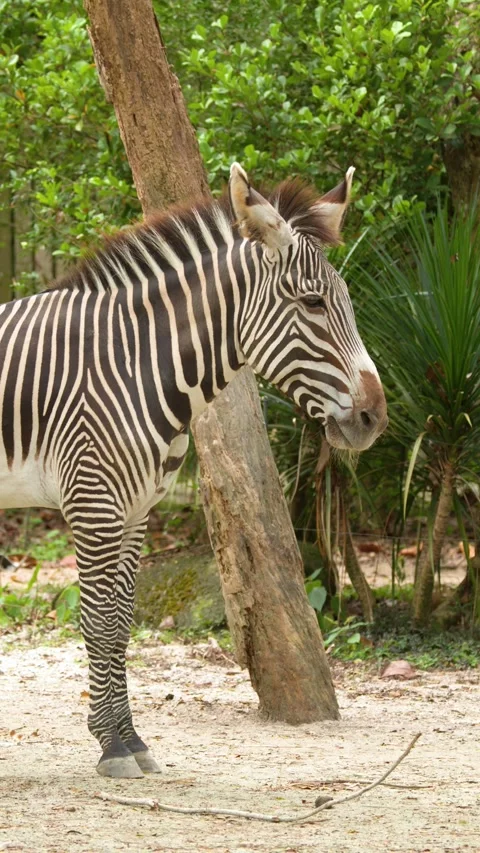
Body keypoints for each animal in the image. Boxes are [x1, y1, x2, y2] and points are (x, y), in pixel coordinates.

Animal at [0, 163, 387, 777]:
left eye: (344, 302)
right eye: (312, 304)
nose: (375, 418)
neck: (134, 362)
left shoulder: (136, 512)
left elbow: (120, 624)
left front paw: (130, 739)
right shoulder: (93, 503)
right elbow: (98, 622)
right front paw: (111, 747)